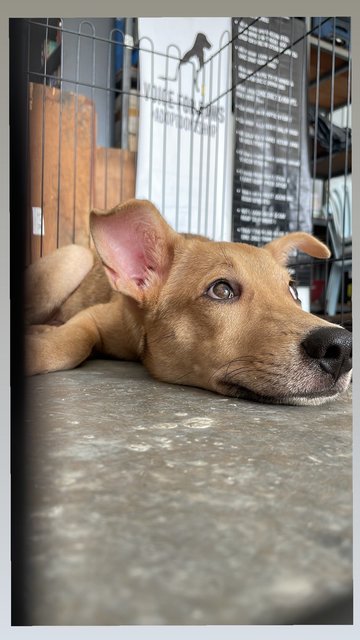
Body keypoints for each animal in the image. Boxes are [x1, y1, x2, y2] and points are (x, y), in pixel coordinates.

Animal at [25, 199, 352, 404]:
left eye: (294, 292)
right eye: (221, 290)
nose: (342, 348)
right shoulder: (97, 315)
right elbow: (72, 342)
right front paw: (42, 348)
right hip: (74, 257)